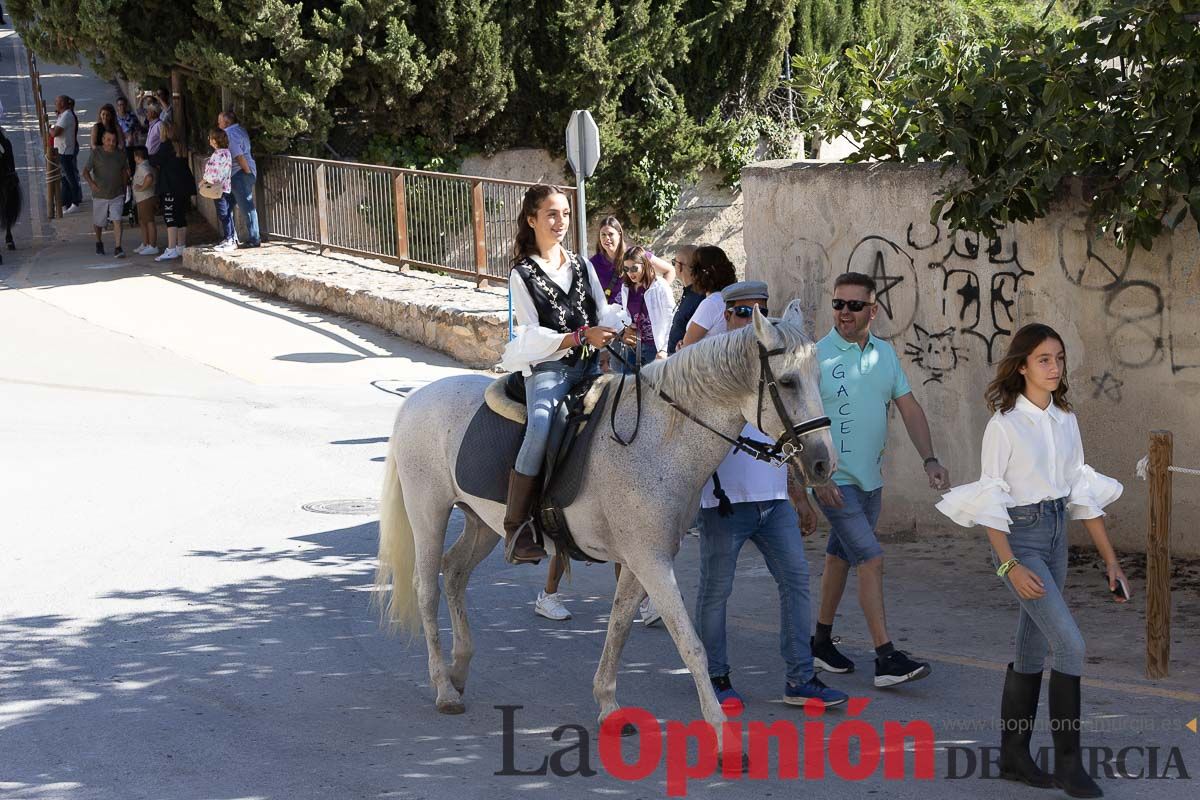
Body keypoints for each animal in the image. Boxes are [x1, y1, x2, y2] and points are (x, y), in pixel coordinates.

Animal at [374, 302, 835, 753]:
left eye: (818, 377)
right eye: (788, 382)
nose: (822, 464)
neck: (658, 441)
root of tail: (415, 399)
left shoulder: (638, 561)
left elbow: (618, 628)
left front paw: (609, 707)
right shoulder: (652, 562)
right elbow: (691, 645)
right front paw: (723, 735)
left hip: (483, 523)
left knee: (454, 573)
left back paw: (459, 671)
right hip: (428, 513)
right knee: (427, 590)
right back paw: (443, 687)